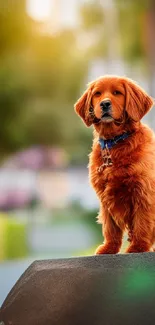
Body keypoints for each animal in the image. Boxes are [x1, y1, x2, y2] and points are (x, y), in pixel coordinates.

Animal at [74, 76, 154, 253]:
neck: (114, 143)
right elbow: (110, 226)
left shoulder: (144, 192)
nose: (104, 104)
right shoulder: (105, 194)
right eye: (97, 94)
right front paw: (109, 248)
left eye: (117, 93)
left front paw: (138, 247)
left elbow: (142, 222)